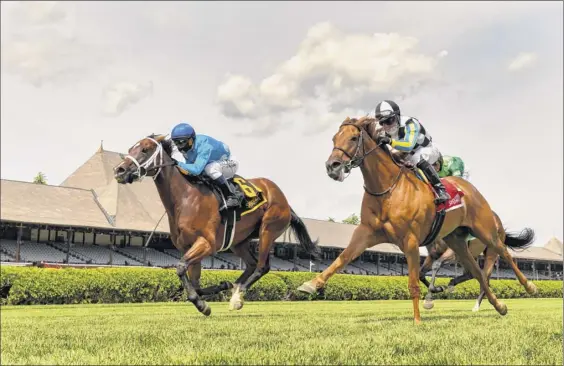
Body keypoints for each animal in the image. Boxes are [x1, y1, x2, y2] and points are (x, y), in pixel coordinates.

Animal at [112, 134, 320, 314]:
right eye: (131, 148)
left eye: (145, 149)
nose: (119, 170)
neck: (186, 198)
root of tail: (283, 198)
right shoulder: (187, 246)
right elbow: (195, 282)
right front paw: (220, 287)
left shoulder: (206, 243)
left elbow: (180, 267)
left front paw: (201, 304)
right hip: (239, 242)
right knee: (251, 265)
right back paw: (235, 288)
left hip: (268, 230)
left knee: (262, 267)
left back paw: (237, 298)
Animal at [298, 116, 536, 324]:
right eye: (334, 138)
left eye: (354, 138)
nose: (332, 166)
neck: (387, 189)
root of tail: (469, 188)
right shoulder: (366, 232)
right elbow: (342, 259)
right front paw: (311, 284)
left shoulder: (410, 240)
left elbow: (413, 280)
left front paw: (418, 319)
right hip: (456, 241)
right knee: (477, 273)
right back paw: (499, 306)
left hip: (485, 232)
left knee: (503, 255)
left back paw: (529, 287)